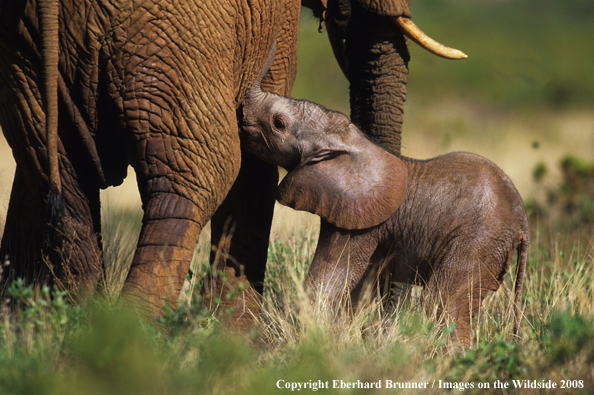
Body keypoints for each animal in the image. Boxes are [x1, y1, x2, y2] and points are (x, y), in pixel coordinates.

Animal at [240, 68, 528, 346]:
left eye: (278, 124)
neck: (354, 140)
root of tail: (522, 223)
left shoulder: (359, 221)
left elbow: (327, 282)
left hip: (479, 242)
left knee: (442, 302)